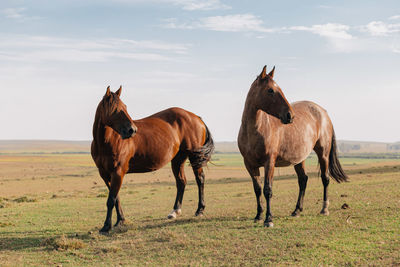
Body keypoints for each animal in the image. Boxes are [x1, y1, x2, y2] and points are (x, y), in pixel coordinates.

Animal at [92, 86, 214, 232]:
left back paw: (200, 210)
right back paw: (175, 211)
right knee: (181, 182)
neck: (107, 142)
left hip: (195, 157)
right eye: (115, 109)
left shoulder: (118, 172)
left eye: (125, 107)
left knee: (200, 179)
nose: (132, 130)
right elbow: (116, 198)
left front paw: (106, 226)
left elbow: (111, 200)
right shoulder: (105, 174)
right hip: (178, 159)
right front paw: (120, 221)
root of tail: (196, 117)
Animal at [238, 66, 346, 227]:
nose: (290, 115)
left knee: (325, 178)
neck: (256, 130)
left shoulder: (269, 162)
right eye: (270, 90)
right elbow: (257, 189)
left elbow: (267, 189)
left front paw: (268, 219)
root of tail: (323, 112)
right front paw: (258, 215)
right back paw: (297, 210)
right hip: (299, 159)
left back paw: (324, 209)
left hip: (323, 154)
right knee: (303, 180)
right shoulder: (250, 164)